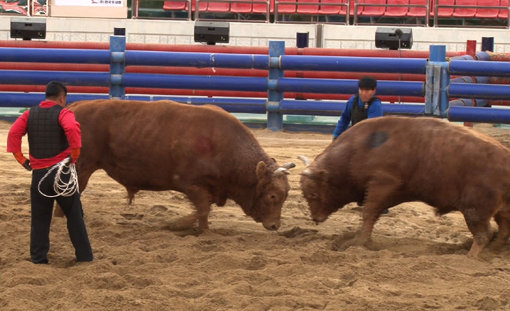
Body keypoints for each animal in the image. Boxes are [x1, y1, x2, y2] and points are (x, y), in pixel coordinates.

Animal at [66, 100, 294, 232]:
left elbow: (204, 211)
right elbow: (202, 208)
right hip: (82, 167)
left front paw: (203, 230)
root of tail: (73, 107)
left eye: (285, 196)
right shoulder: (190, 184)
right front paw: (177, 225)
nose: (275, 225)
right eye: (272, 196)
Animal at [298, 116, 510, 258]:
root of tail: (505, 156)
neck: (359, 149)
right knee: (503, 229)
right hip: (500, 210)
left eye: (313, 194)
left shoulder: (382, 185)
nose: (316, 218)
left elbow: (368, 213)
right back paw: (494, 251)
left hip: (474, 210)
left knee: (484, 234)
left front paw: (357, 242)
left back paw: (470, 257)